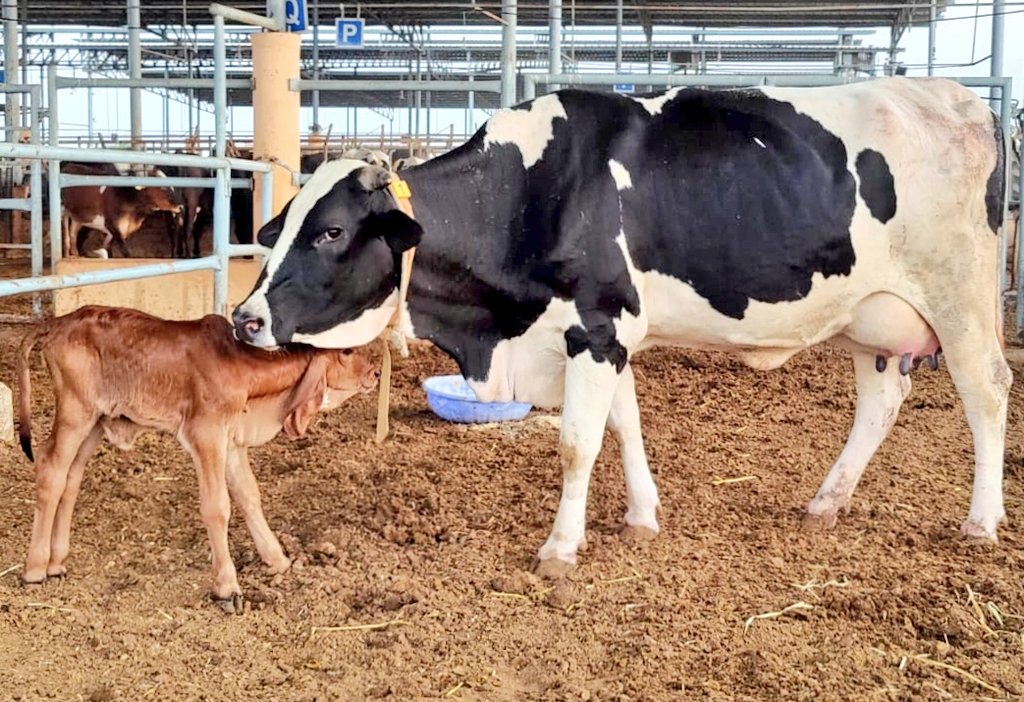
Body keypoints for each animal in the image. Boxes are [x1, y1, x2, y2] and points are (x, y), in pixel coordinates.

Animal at [17, 306, 380, 611]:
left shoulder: (231, 442)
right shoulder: (206, 435)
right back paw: (35, 568)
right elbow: (217, 507)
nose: (375, 373)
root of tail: (59, 322)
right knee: (50, 469)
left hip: (95, 422)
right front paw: (228, 587)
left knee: (71, 478)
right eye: (346, 351)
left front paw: (277, 559)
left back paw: (57, 563)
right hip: (75, 413)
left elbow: (249, 495)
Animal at [231, 78, 1011, 577]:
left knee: (988, 391)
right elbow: (625, 425)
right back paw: (827, 501)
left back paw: (981, 522)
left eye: (331, 231)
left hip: (962, 297)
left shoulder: (595, 326)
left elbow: (578, 443)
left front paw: (560, 548)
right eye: (284, 225)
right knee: (881, 402)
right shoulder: (609, 335)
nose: (245, 318)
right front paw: (641, 517)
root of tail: (960, 97)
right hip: (872, 320)